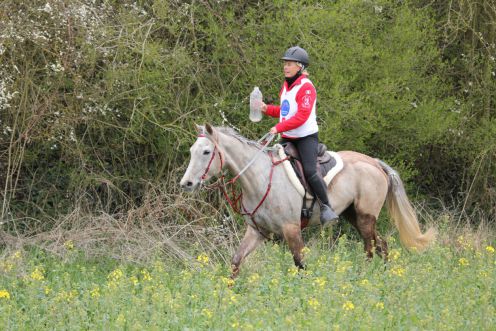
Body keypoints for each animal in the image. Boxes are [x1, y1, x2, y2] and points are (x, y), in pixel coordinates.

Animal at [180, 124, 436, 278]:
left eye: (206, 152)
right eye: (191, 150)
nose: (187, 183)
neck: (260, 178)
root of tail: (374, 162)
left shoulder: (291, 229)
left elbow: (300, 264)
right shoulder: (257, 231)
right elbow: (236, 261)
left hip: (365, 216)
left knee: (372, 246)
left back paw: (367, 277)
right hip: (353, 215)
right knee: (379, 244)